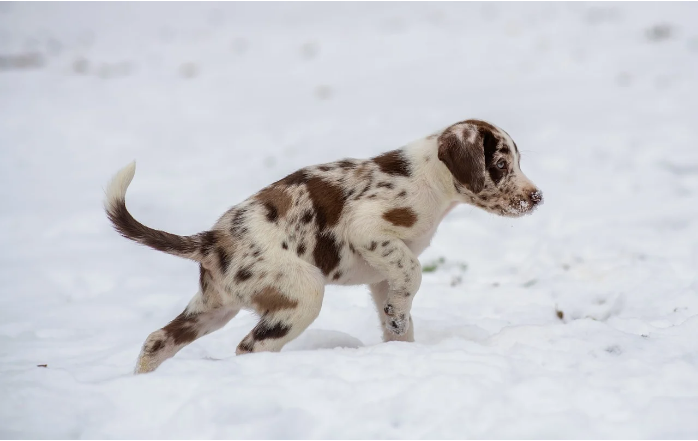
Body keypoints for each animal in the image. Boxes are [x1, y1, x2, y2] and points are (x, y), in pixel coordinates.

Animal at [103, 117, 540, 372]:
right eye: (501, 165)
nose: (537, 198)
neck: (429, 178)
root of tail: (211, 240)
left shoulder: (381, 276)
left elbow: (398, 314)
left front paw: (401, 341)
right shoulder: (369, 230)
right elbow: (414, 275)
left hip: (214, 308)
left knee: (157, 340)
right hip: (302, 295)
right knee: (249, 348)